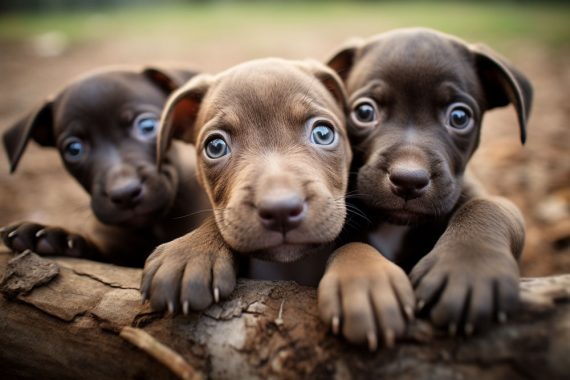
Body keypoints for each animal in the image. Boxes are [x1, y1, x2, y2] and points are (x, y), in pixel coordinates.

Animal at [320, 26, 532, 348]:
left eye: (459, 117)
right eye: (365, 112)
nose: (408, 180)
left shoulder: (485, 198)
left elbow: (488, 206)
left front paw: (466, 265)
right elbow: (352, 245)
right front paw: (364, 280)